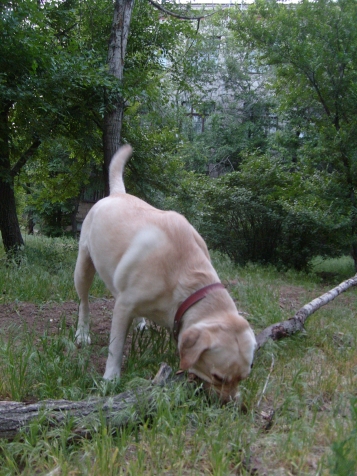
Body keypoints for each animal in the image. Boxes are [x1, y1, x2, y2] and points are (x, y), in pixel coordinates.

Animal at [73, 145, 254, 402]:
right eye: (218, 377)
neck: (186, 276)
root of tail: (116, 194)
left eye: (243, 378)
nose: (230, 404)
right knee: (84, 302)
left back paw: (140, 322)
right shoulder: (124, 307)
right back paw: (82, 333)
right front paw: (110, 378)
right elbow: (116, 347)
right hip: (83, 267)